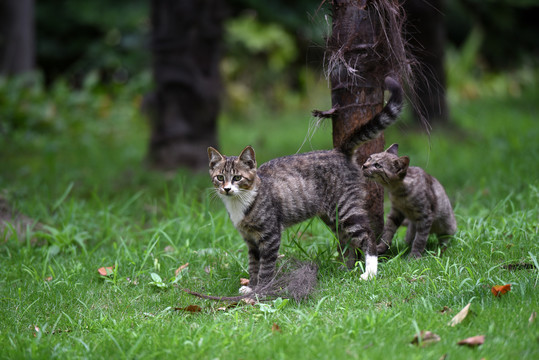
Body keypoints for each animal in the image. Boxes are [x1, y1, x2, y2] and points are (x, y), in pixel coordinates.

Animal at [209, 77, 402, 294]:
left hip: (345, 207)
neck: (242, 201)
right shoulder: (250, 240)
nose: (226, 189)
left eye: (237, 178)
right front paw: (251, 286)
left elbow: (266, 266)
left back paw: (369, 272)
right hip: (331, 216)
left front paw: (261, 290)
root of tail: (339, 152)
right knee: (346, 241)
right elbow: (253, 264)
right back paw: (346, 270)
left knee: (367, 235)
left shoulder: (270, 235)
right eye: (219, 177)